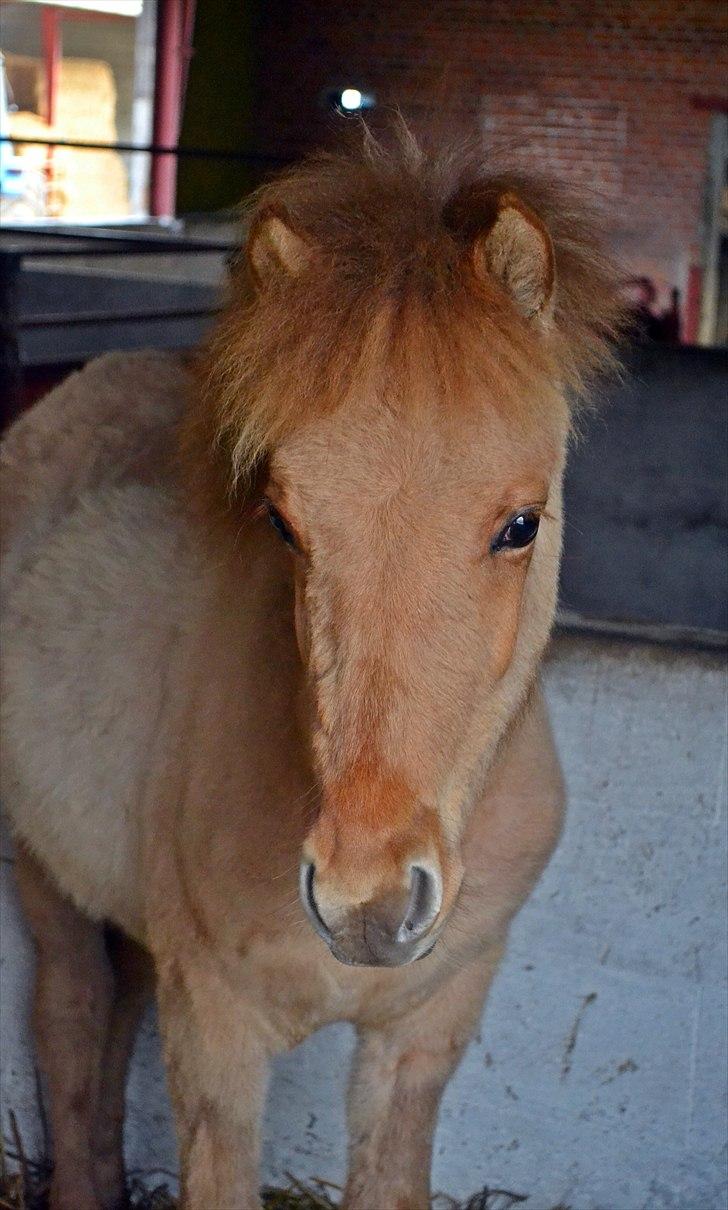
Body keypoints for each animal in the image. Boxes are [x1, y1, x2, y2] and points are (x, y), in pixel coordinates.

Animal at [1, 132, 616, 1210]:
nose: (366, 902)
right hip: (43, 869)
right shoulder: (214, 1037)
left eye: (520, 523)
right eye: (284, 522)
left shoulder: (422, 1037)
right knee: (71, 1022)